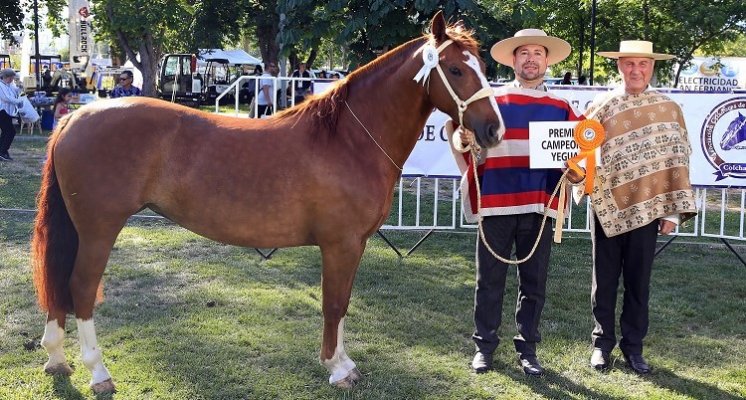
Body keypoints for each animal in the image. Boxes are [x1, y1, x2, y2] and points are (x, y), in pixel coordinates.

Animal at [32, 13, 502, 394]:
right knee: (81, 288)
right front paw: (337, 368)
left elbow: (343, 303)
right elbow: (334, 303)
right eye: (455, 69)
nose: (494, 130)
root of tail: (75, 118)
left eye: (482, 67)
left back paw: (57, 359)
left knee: (60, 287)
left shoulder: (353, 246)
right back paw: (98, 373)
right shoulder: (341, 245)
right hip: (99, 229)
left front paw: (344, 363)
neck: (348, 140)